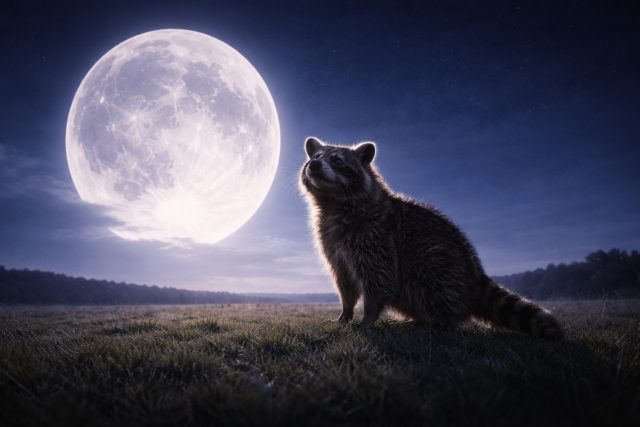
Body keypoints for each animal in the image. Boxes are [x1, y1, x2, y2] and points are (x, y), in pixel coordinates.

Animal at [300, 136, 563, 339]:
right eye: (316, 156)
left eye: (337, 160)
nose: (314, 164)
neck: (333, 202)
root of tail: (477, 277)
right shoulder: (333, 242)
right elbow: (344, 279)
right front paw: (345, 311)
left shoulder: (376, 236)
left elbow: (380, 276)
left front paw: (369, 316)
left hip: (439, 267)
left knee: (428, 284)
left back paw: (436, 321)